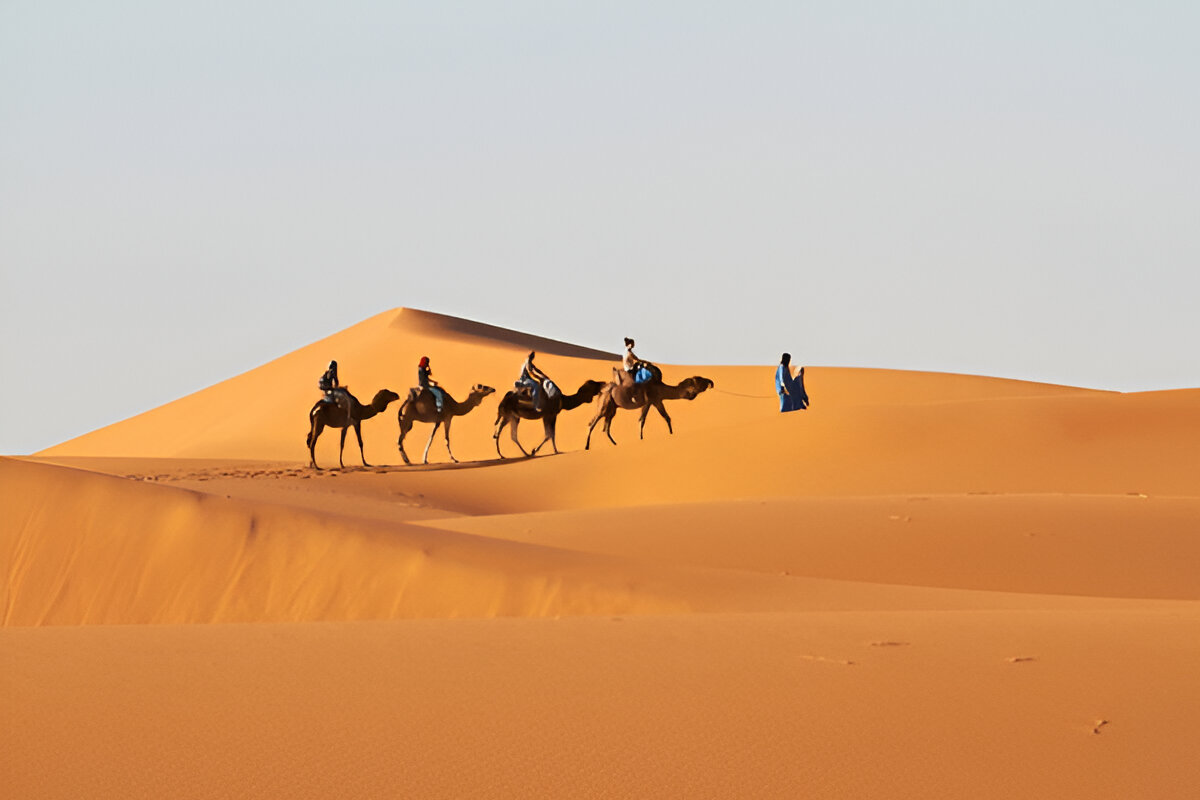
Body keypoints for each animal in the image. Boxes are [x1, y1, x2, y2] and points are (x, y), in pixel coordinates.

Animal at [585, 369, 714, 449]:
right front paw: (671, 434)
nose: (710, 382)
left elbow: (642, 420)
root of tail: (602, 391)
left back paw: (615, 444)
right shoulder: (656, 400)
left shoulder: (648, 403)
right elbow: (666, 417)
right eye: (699, 380)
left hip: (611, 409)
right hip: (605, 405)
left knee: (605, 427)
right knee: (592, 424)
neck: (660, 387)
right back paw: (586, 446)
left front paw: (641, 438)